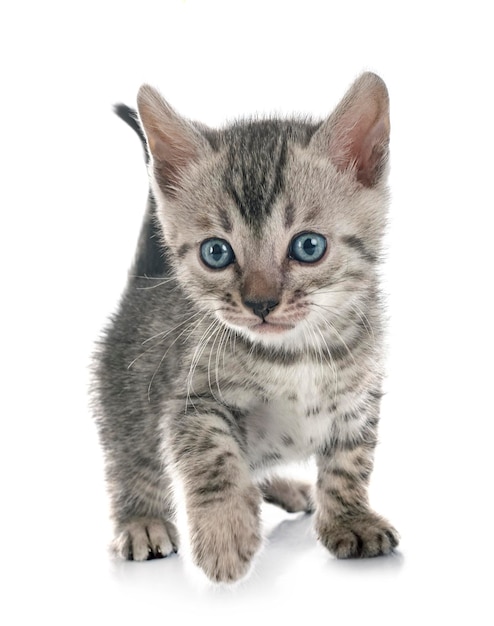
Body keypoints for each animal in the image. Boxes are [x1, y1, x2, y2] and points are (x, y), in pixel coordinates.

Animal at [94, 72, 400, 580]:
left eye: (309, 246)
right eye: (216, 252)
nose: (260, 303)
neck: (297, 353)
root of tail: (143, 285)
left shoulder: (360, 398)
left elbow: (350, 462)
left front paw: (350, 519)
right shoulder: (190, 401)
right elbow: (216, 455)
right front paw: (225, 535)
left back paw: (288, 489)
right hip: (127, 400)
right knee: (132, 461)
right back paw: (142, 521)